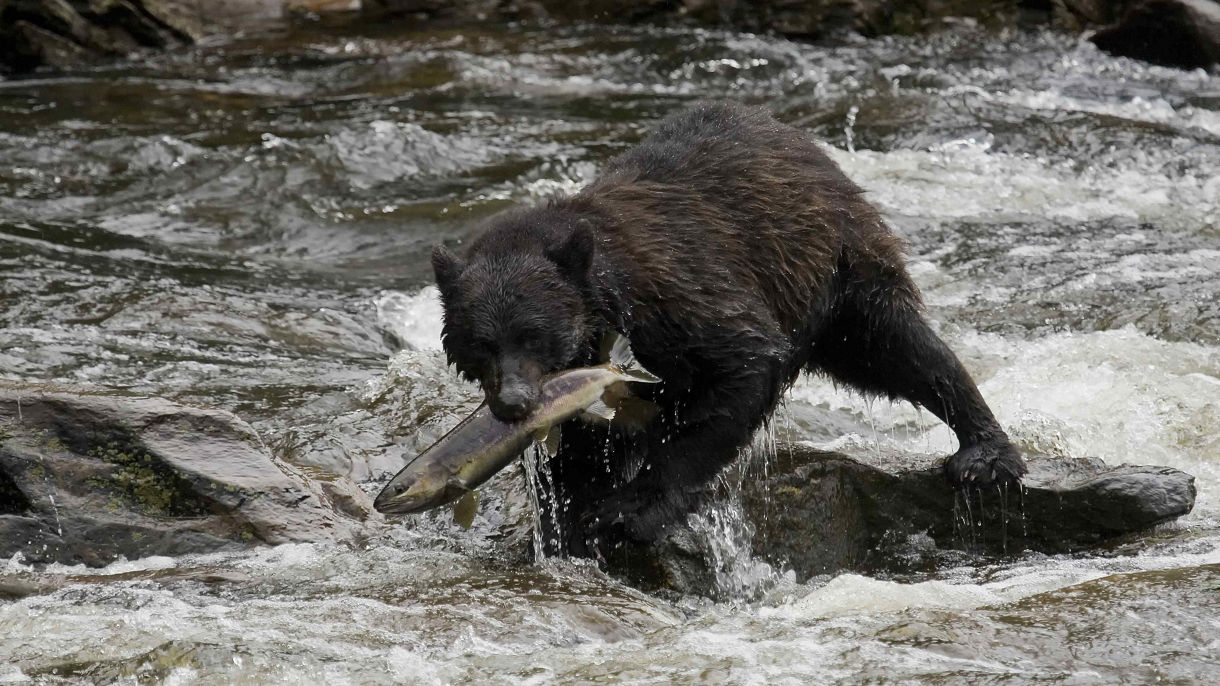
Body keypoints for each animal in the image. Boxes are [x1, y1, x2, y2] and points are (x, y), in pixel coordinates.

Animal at [430, 101, 1026, 557]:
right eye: (481, 343)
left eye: (534, 334)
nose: (513, 402)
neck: (608, 307)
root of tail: (799, 138)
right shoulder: (587, 383)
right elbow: (582, 446)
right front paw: (570, 519)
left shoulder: (674, 294)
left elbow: (738, 364)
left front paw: (630, 509)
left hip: (834, 267)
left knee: (900, 349)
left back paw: (984, 455)